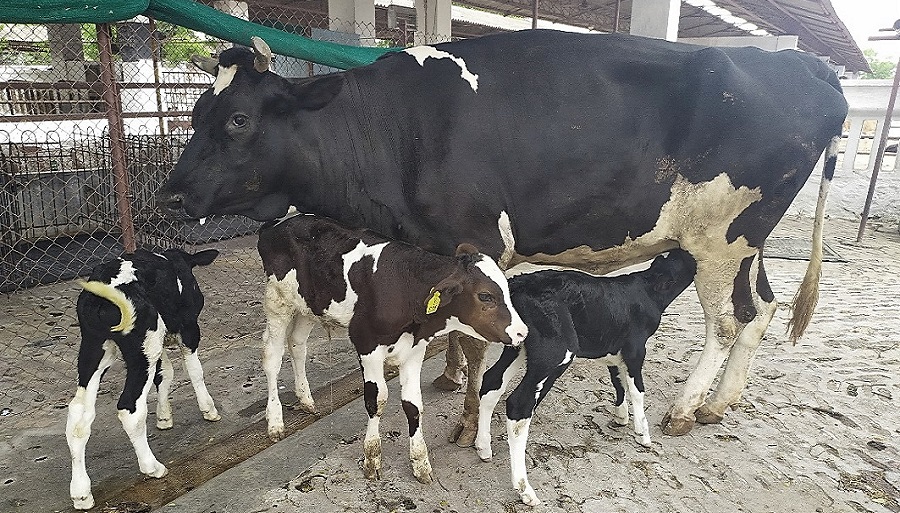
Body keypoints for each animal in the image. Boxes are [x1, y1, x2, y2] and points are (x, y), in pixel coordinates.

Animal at [67, 248, 220, 510]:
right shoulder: (188, 328)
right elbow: (194, 370)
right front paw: (208, 409)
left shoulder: (159, 343)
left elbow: (165, 373)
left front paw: (164, 417)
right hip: (142, 346)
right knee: (130, 408)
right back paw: (152, 467)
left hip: (97, 348)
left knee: (78, 413)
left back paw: (81, 493)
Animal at [156, 29, 848, 445]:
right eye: (195, 113)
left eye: (239, 119)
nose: (170, 194)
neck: (394, 128)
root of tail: (803, 63)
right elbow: (452, 335)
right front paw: (447, 385)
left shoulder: (477, 241)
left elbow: (476, 343)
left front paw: (466, 424)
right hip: (748, 241)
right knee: (762, 310)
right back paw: (717, 403)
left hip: (720, 237)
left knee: (731, 320)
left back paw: (686, 407)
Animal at [256, 213, 527, 483]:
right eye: (485, 296)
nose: (522, 332)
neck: (404, 289)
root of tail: (280, 223)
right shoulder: (367, 346)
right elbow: (376, 400)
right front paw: (372, 459)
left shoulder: (415, 350)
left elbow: (413, 404)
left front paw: (420, 463)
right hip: (278, 301)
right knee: (272, 356)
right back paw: (275, 422)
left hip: (308, 306)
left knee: (297, 344)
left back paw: (306, 399)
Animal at [475, 250, 697, 505]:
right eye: (682, 262)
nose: (689, 254)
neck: (647, 290)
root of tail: (518, 283)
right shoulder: (635, 348)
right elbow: (637, 389)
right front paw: (643, 433)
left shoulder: (614, 348)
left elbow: (617, 380)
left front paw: (621, 416)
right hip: (556, 350)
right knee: (519, 404)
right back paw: (524, 489)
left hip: (518, 346)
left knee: (492, 382)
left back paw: (483, 447)